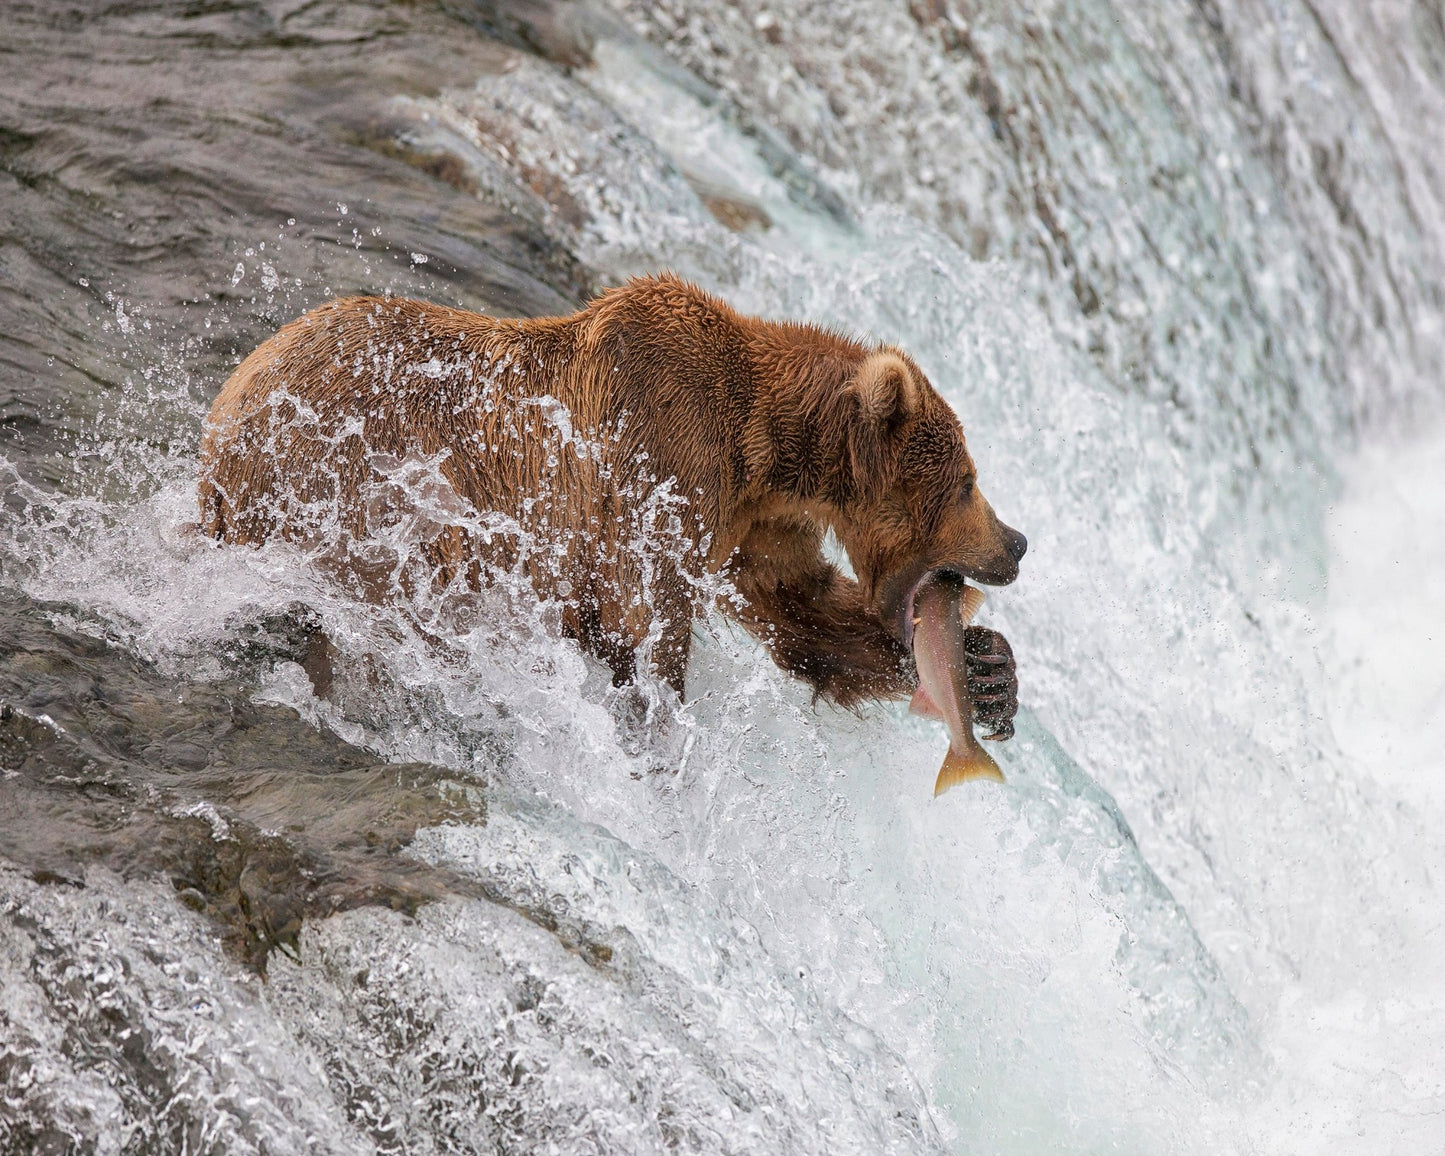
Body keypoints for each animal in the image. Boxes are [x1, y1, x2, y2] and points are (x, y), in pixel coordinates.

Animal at [197, 274, 1025, 728]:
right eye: (966, 482)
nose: (1015, 543)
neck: (763, 448)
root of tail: (219, 427)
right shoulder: (659, 459)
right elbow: (647, 620)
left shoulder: (750, 526)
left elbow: (800, 610)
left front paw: (989, 669)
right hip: (355, 482)